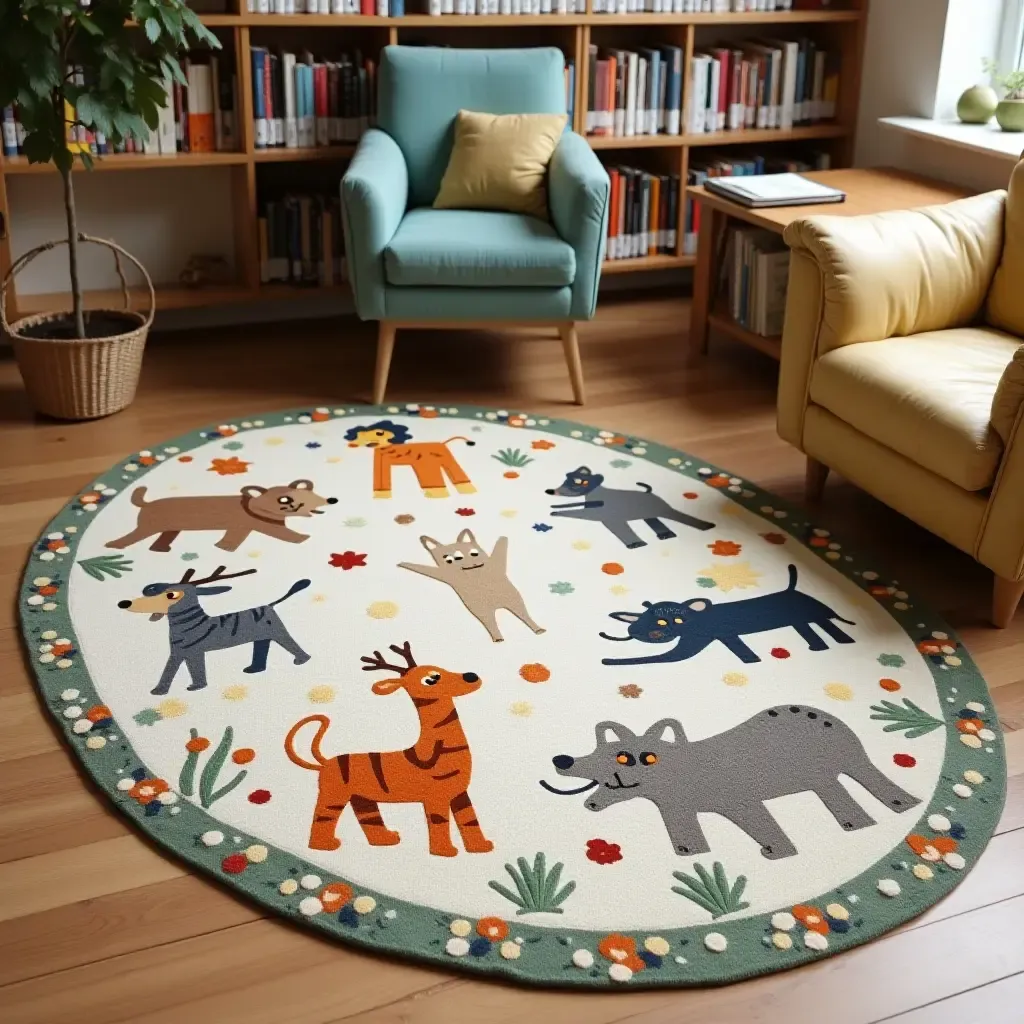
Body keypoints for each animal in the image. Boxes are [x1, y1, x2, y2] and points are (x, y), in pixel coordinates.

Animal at [104, 477, 335, 552]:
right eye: (285, 500)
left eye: (312, 494)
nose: (330, 500)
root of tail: (147, 503)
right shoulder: (252, 525)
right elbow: (284, 534)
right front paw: (302, 538)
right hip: (148, 526)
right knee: (133, 536)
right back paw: (114, 546)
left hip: (170, 529)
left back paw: (161, 550)